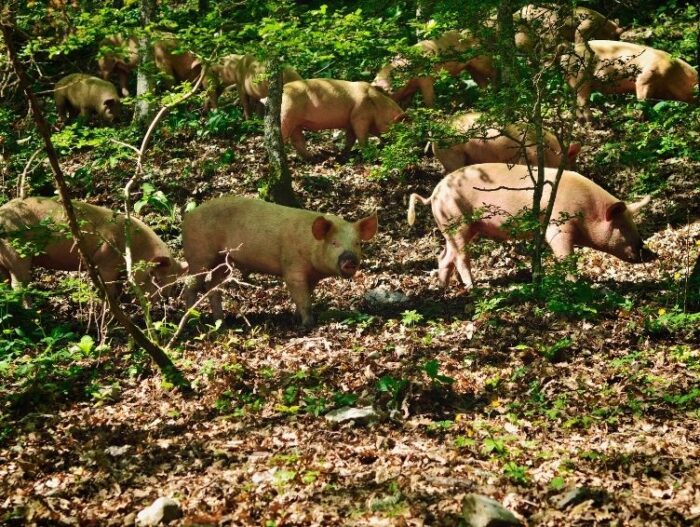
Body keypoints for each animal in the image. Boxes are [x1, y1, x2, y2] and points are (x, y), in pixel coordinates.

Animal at [0, 197, 187, 306]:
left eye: (173, 282)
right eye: (156, 277)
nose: (160, 301)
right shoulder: (106, 261)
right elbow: (110, 287)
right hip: (17, 254)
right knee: (18, 284)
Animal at [180, 197, 378, 328]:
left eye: (357, 243)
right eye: (334, 243)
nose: (350, 259)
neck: (310, 246)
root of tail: (187, 218)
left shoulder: (312, 277)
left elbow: (306, 296)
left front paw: (295, 318)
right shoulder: (292, 269)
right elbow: (303, 299)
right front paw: (307, 326)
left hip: (223, 260)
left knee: (212, 286)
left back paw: (221, 322)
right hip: (199, 255)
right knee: (191, 286)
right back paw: (191, 321)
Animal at [404, 164, 656, 288]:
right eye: (622, 226)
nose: (650, 253)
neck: (587, 210)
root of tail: (434, 193)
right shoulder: (558, 227)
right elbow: (565, 256)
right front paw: (576, 284)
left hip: (455, 227)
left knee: (444, 255)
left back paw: (442, 288)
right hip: (457, 222)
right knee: (460, 257)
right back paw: (473, 287)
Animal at [564, 40, 700, 122]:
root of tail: (566, 55)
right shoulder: (645, 77)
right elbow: (642, 99)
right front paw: (640, 118)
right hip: (580, 76)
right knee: (582, 100)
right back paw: (592, 121)